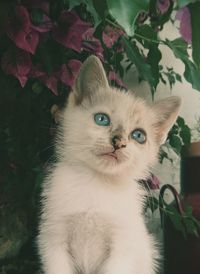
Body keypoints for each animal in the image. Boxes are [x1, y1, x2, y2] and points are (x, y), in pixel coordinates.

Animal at [37, 56, 181, 274]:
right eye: (102, 119)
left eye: (139, 136)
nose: (118, 142)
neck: (97, 182)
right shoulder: (54, 240)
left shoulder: (123, 247)